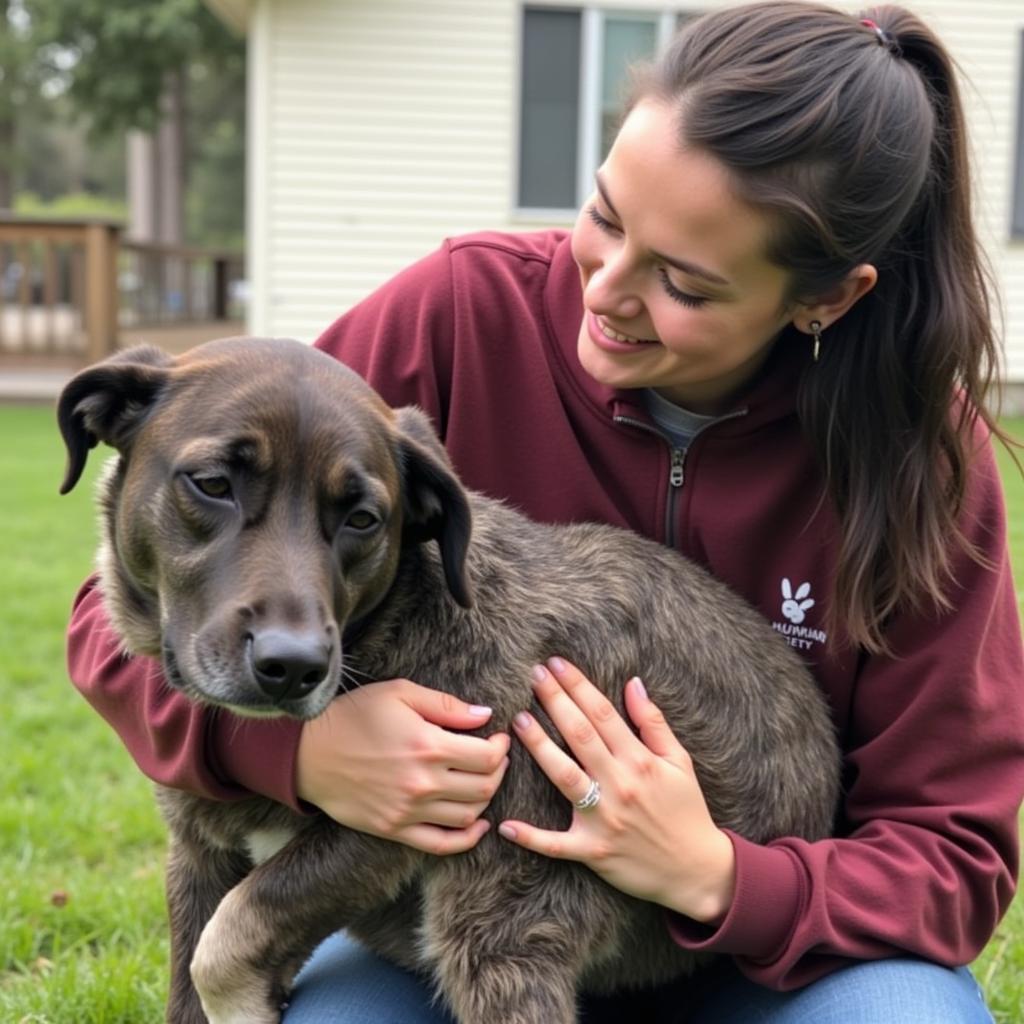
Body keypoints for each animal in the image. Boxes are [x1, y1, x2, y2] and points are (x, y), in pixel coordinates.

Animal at [58, 337, 839, 1024]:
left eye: (364, 518)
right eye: (213, 484)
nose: (293, 667)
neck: (390, 633)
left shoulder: (390, 841)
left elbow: (224, 946)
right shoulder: (198, 854)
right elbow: (198, 964)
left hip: (497, 932)